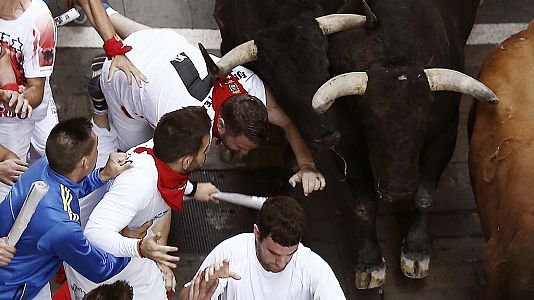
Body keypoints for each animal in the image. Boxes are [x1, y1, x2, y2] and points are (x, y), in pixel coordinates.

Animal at [214, 0, 486, 290]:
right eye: (369, 122)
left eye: (424, 122)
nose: (397, 189)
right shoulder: (348, 146)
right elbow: (365, 205)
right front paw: (370, 263)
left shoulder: (445, 132)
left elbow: (424, 195)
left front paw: (416, 251)